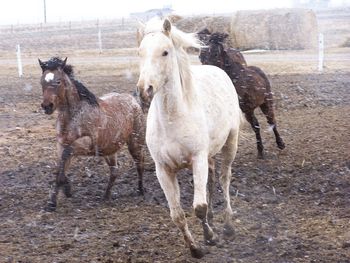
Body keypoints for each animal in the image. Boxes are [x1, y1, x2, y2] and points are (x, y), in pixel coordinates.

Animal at [39, 56, 146, 211]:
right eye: (42, 81)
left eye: (58, 81)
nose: (47, 106)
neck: (74, 116)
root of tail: (133, 100)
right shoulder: (61, 144)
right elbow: (60, 167)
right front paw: (54, 201)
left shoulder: (86, 144)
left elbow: (65, 157)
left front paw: (65, 191)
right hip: (108, 151)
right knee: (115, 171)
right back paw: (106, 196)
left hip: (135, 143)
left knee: (140, 164)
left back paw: (140, 190)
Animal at [137, 18, 243, 260]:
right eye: (140, 52)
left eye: (165, 52)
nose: (144, 90)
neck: (173, 118)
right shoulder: (163, 169)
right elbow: (177, 215)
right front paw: (195, 248)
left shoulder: (198, 159)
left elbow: (198, 207)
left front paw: (211, 238)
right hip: (210, 156)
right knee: (211, 182)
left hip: (230, 144)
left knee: (224, 179)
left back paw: (228, 226)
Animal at [197, 31, 284, 159]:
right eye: (200, 56)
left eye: (215, 53)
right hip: (249, 110)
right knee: (256, 125)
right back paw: (260, 151)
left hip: (266, 102)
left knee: (271, 120)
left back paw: (280, 144)